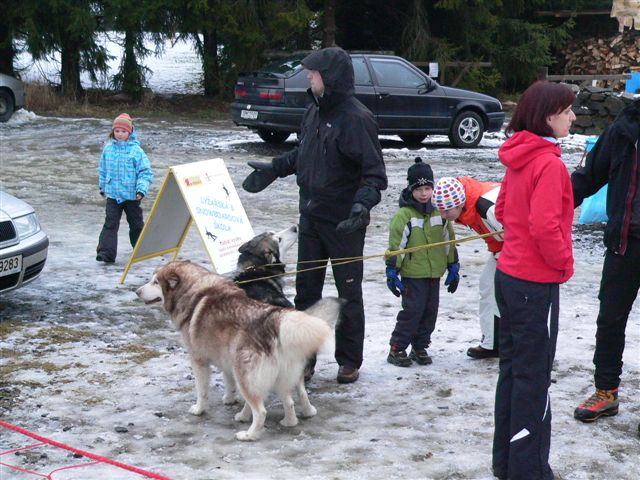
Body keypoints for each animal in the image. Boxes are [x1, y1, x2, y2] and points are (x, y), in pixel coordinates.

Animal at [136, 260, 341, 441]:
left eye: (155, 282)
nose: (137, 291)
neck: (195, 289)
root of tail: (275, 320)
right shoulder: (225, 357)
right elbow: (228, 381)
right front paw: (229, 398)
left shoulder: (198, 360)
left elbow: (202, 391)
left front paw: (199, 409)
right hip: (279, 374)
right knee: (294, 398)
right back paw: (292, 418)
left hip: (245, 373)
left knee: (261, 410)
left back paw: (249, 434)